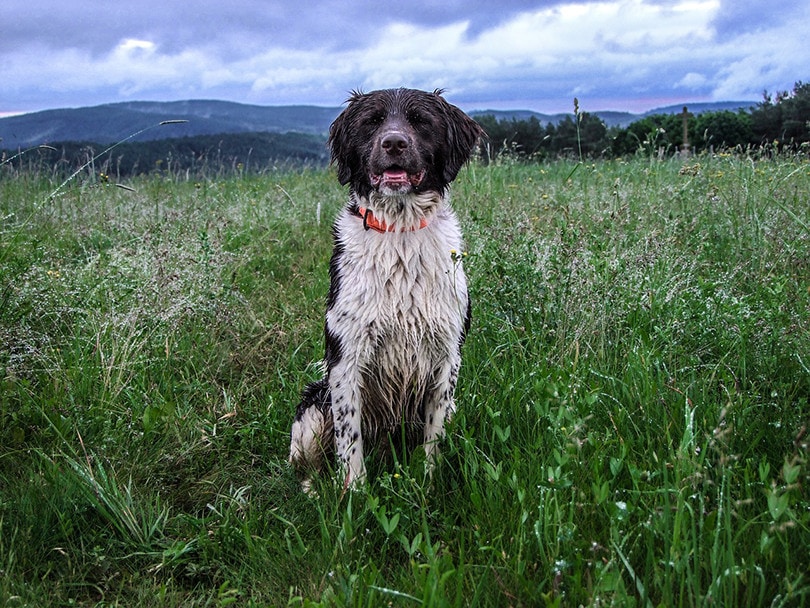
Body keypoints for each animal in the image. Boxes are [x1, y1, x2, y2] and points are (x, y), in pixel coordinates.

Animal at [288, 88, 482, 492]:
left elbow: (434, 437)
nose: (393, 143)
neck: (400, 232)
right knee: (307, 466)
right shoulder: (345, 359)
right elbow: (349, 441)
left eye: (421, 121)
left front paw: (428, 482)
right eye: (372, 121)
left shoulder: (447, 355)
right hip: (314, 404)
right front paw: (355, 494)